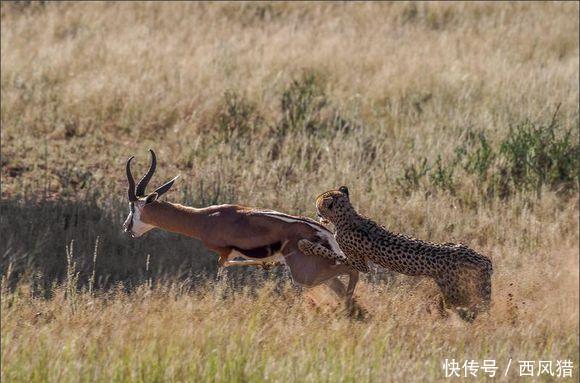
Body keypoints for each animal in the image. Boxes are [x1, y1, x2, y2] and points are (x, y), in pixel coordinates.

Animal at [300, 188, 494, 322]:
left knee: (472, 307)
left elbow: (331, 253)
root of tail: (483, 258)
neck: (347, 216)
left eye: (319, 204)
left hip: (455, 292)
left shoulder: (359, 263)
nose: (316, 212)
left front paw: (306, 246)